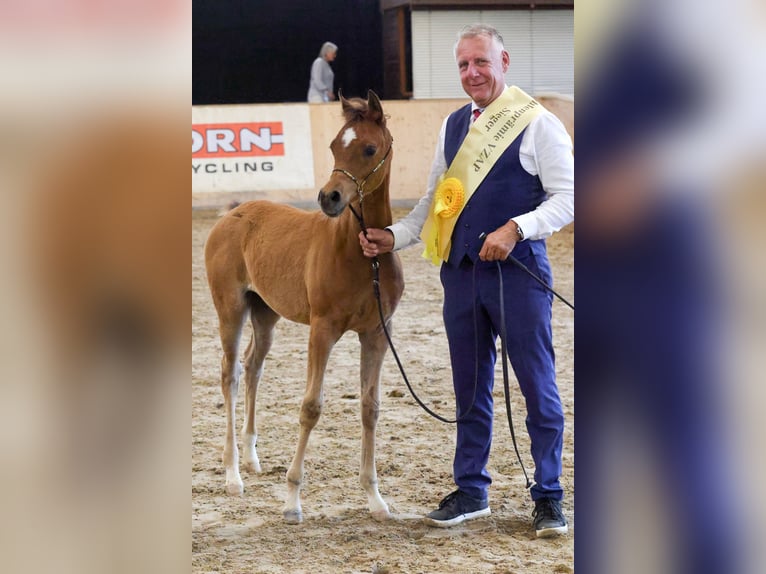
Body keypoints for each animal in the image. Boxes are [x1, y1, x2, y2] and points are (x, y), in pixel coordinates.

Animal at [204, 90, 404, 524]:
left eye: (369, 148)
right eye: (332, 146)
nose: (329, 198)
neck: (362, 254)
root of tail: (230, 215)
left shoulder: (377, 333)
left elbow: (371, 407)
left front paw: (376, 500)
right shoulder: (322, 330)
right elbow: (311, 406)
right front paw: (292, 501)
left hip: (265, 313)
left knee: (253, 366)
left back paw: (251, 458)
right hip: (230, 309)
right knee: (230, 373)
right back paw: (232, 474)